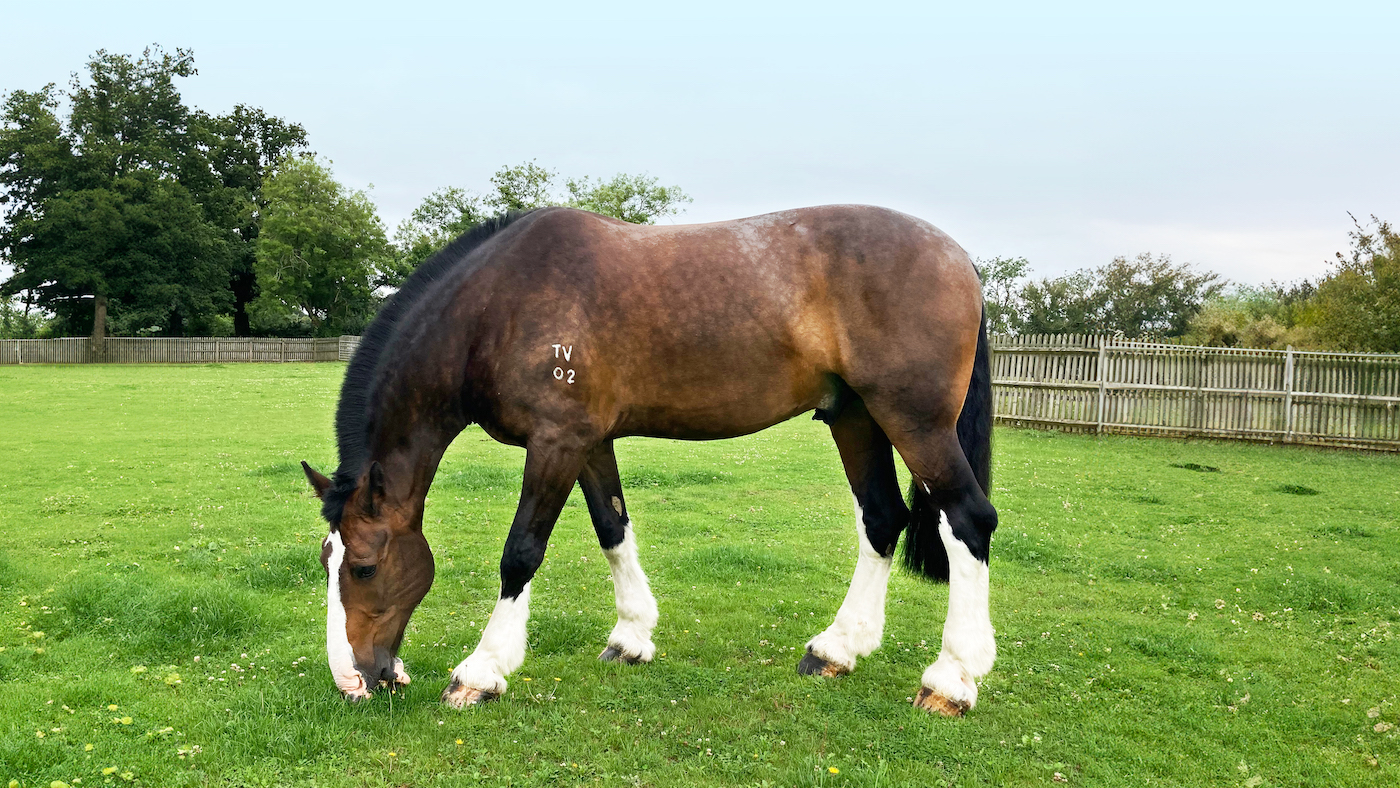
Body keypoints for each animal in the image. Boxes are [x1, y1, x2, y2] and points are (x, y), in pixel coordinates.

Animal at [301, 204, 997, 716]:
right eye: (327, 560)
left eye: (362, 567)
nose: (352, 680)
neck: (499, 306)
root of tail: (958, 257)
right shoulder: (586, 442)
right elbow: (613, 527)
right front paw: (631, 637)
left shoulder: (556, 441)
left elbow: (520, 552)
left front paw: (483, 669)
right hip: (855, 416)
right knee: (882, 520)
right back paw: (838, 650)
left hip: (914, 421)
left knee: (969, 520)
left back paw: (952, 679)